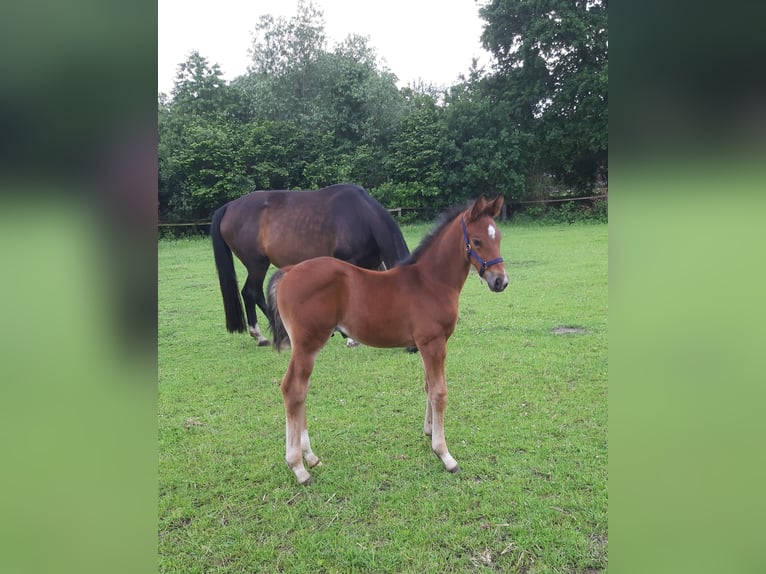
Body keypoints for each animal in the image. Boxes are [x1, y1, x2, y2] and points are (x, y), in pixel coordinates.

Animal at [210, 183, 410, 346]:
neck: (362, 215)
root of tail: (229, 207)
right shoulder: (347, 262)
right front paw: (350, 337)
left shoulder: (373, 264)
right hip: (257, 264)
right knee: (252, 292)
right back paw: (268, 335)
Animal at [266, 195, 508, 485]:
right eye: (478, 240)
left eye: (499, 237)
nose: (500, 281)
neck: (430, 281)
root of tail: (289, 272)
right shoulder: (433, 343)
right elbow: (440, 392)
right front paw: (444, 454)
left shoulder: (428, 344)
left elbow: (428, 387)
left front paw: (428, 432)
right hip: (307, 344)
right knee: (293, 389)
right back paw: (298, 467)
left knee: (302, 390)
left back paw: (311, 458)